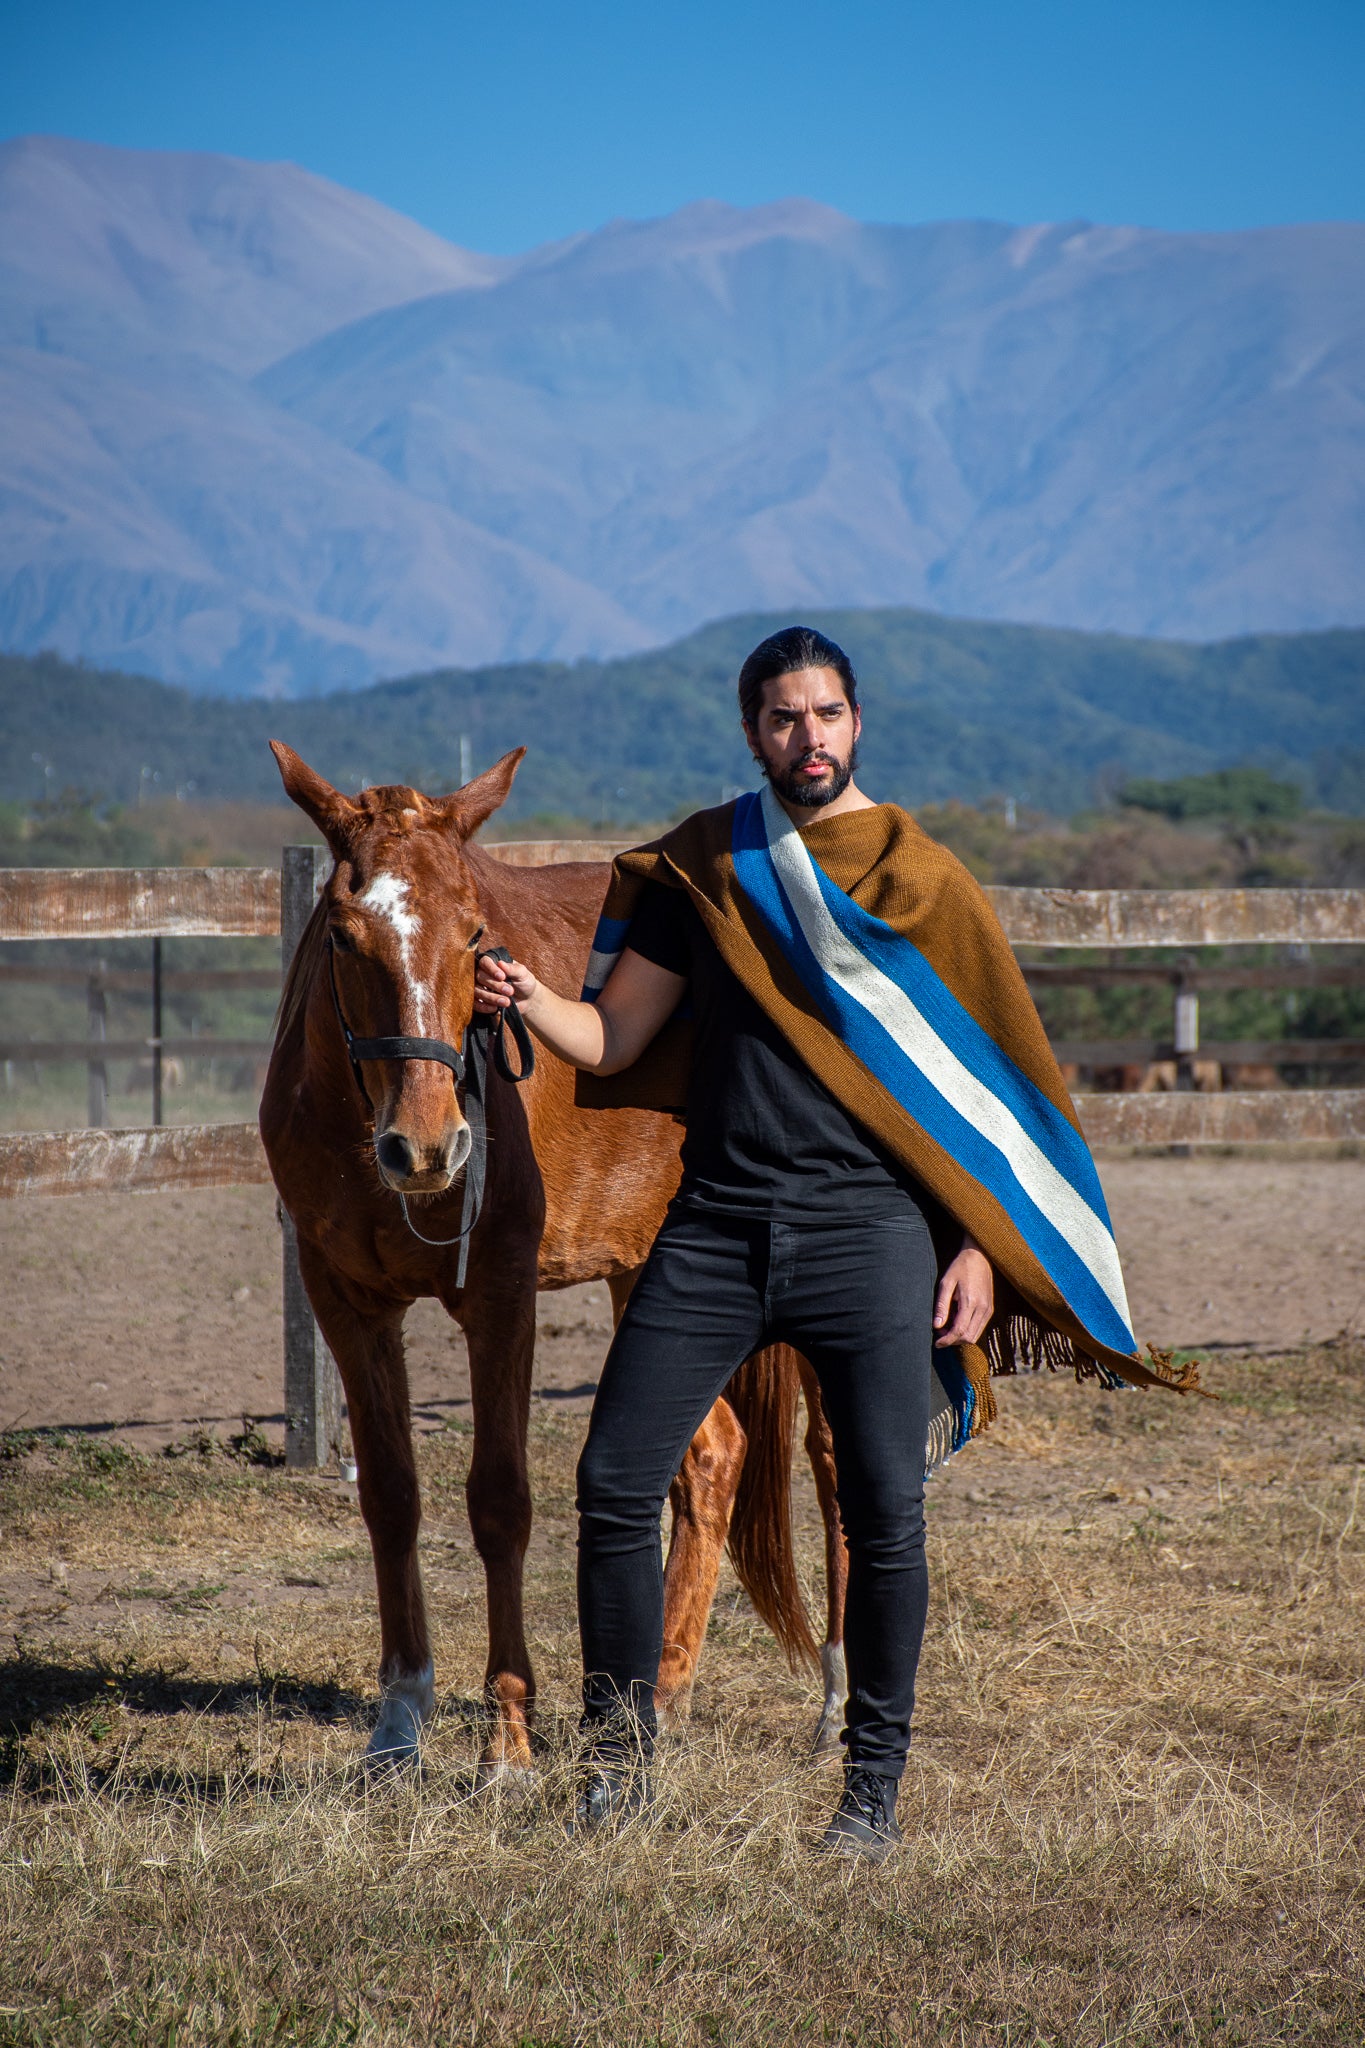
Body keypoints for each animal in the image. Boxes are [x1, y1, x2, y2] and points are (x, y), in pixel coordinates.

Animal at [259, 741, 847, 1777]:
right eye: (342, 935)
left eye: (476, 935)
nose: (426, 1147)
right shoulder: (346, 1302)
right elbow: (392, 1498)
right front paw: (398, 1723)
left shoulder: (501, 1298)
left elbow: (499, 1502)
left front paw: (507, 1741)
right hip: (643, 1269)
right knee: (712, 1456)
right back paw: (664, 1697)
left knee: (832, 1467)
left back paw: (835, 1708)